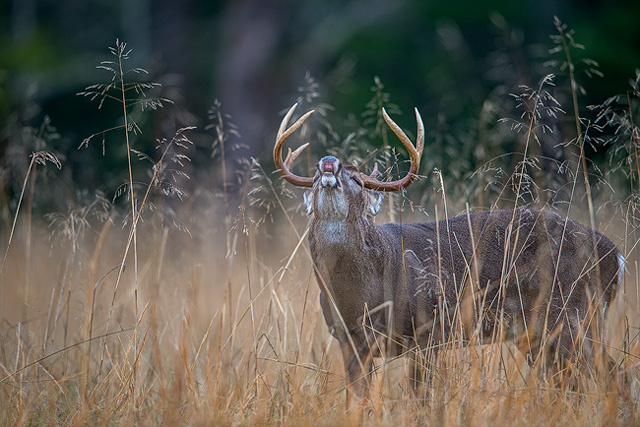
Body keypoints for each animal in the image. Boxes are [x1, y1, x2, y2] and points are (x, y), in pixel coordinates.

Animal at [272, 103, 624, 402]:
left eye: (357, 179)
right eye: (314, 178)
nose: (329, 162)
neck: (361, 295)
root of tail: (617, 256)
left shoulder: (428, 329)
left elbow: (420, 397)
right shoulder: (350, 340)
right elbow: (358, 398)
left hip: (574, 314)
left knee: (611, 374)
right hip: (542, 330)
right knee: (570, 380)